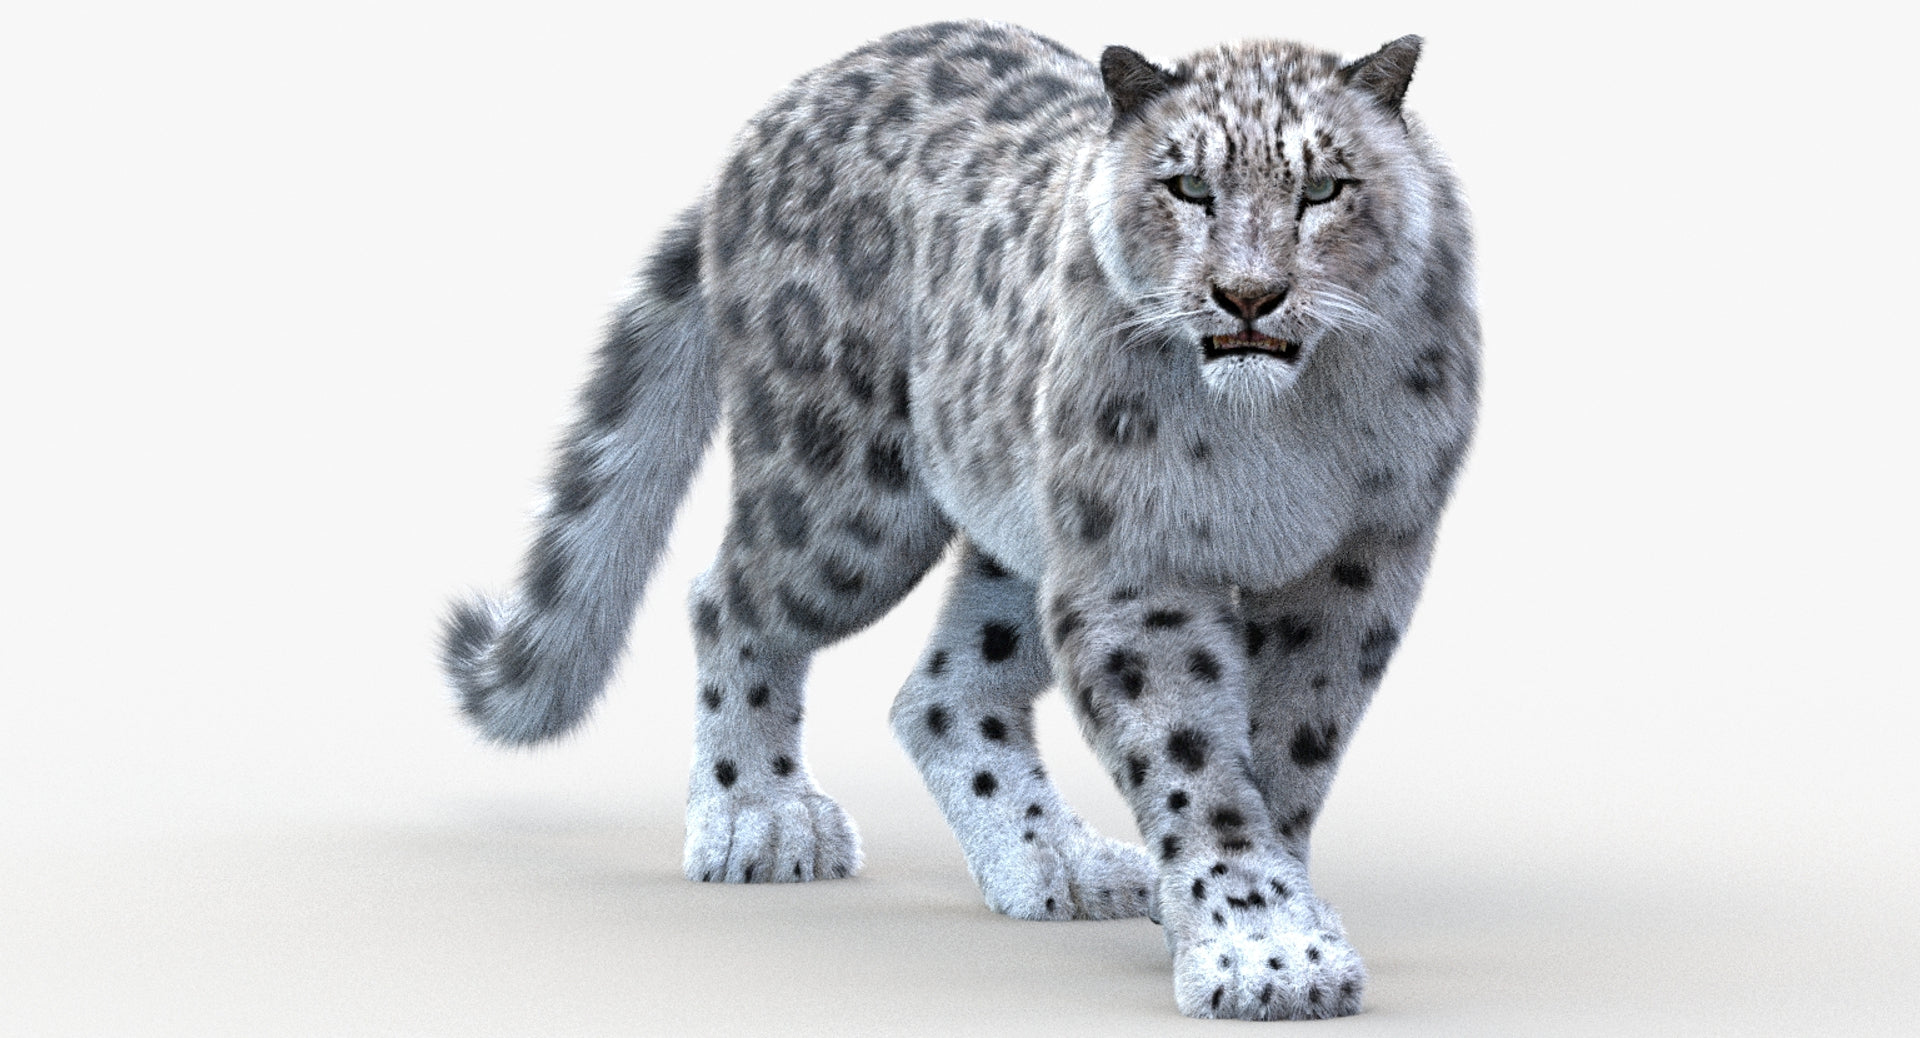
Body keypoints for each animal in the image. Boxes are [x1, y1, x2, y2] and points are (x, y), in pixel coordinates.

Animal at [441, 20, 1478, 1021]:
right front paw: (1261, 947)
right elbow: (1190, 754)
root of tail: (781, 110)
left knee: (942, 689)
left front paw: (1270, 922)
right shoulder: (1136, 558)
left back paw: (1058, 862)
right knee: (726, 596)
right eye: (1188, 187)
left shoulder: (1362, 557)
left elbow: (1296, 742)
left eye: (1324, 188)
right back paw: (760, 818)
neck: (1283, 424)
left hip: (1024, 525)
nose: (1250, 297)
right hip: (850, 499)